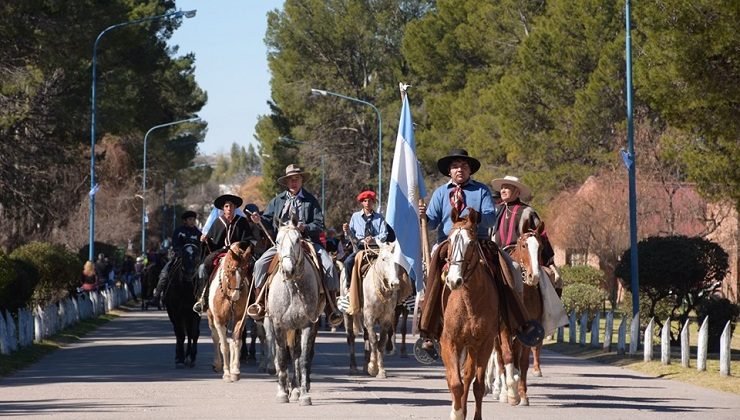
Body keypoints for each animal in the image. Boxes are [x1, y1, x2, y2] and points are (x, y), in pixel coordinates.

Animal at [205, 241, 254, 382]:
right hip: (211, 317)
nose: (235, 296)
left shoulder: (240, 318)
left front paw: (235, 371)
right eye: (230, 270)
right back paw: (217, 364)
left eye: (245, 270)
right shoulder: (219, 320)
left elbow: (236, 342)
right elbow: (224, 345)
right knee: (215, 338)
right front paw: (226, 373)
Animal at [264, 215, 326, 406]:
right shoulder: (278, 325)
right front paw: (282, 393)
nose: (288, 270)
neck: (293, 288)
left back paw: (296, 389)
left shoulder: (307, 325)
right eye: (277, 241)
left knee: (297, 355)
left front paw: (304, 394)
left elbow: (303, 359)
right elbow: (282, 357)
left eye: (298, 239)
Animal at [436, 208, 516, 420]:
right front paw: (455, 413)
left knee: (468, 375)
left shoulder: (485, 343)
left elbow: (477, 385)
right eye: (450, 240)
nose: (453, 280)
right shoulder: (449, 341)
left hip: (474, 345)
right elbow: (454, 382)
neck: (469, 301)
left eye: (471, 243)